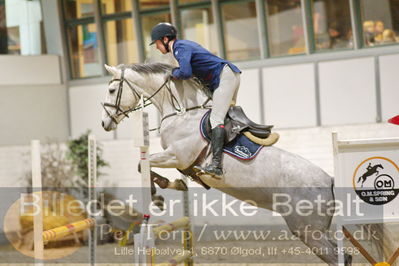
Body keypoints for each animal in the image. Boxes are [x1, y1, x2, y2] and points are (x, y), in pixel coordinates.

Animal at [101, 62, 390, 266]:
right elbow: (148, 168)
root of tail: (329, 180)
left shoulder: (177, 155)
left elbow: (144, 166)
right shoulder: (178, 160)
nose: (105, 124)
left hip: (308, 231)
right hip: (315, 230)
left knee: (339, 258)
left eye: (112, 90)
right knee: (344, 257)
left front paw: (159, 193)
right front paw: (171, 186)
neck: (181, 115)